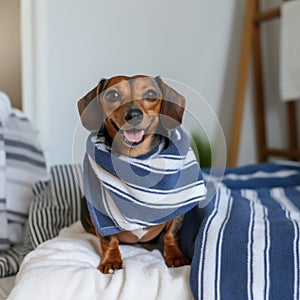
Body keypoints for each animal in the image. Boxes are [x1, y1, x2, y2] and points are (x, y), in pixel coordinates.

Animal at [78, 75, 189, 274]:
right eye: (113, 95)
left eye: (151, 94)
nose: (133, 115)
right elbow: (108, 239)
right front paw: (110, 260)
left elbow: (172, 233)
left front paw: (175, 256)